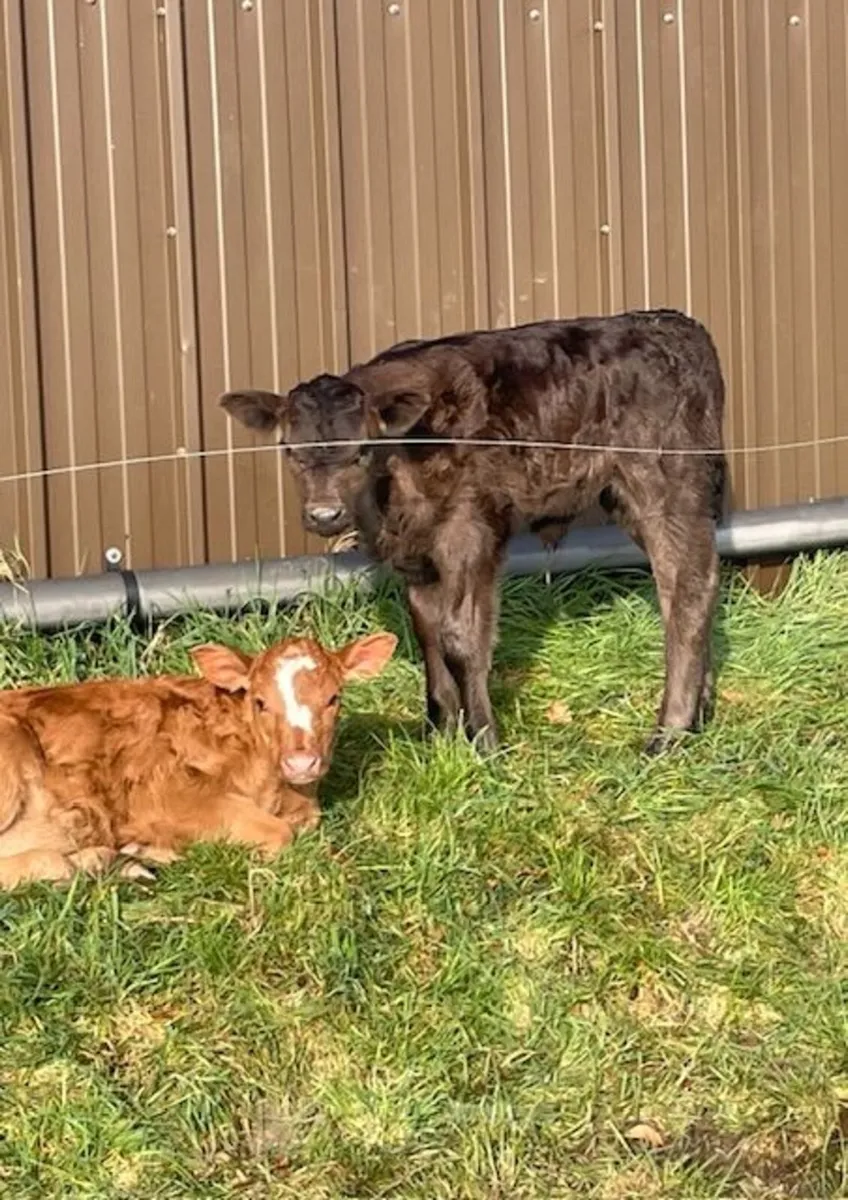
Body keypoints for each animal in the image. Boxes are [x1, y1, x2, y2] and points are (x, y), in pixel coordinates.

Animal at [221, 309, 726, 755]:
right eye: (289, 449)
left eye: (362, 449)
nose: (325, 515)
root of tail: (672, 323)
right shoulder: (417, 555)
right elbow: (427, 633)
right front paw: (438, 732)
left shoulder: (468, 531)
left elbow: (462, 639)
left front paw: (484, 740)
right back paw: (698, 714)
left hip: (665, 480)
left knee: (688, 589)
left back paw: (669, 733)